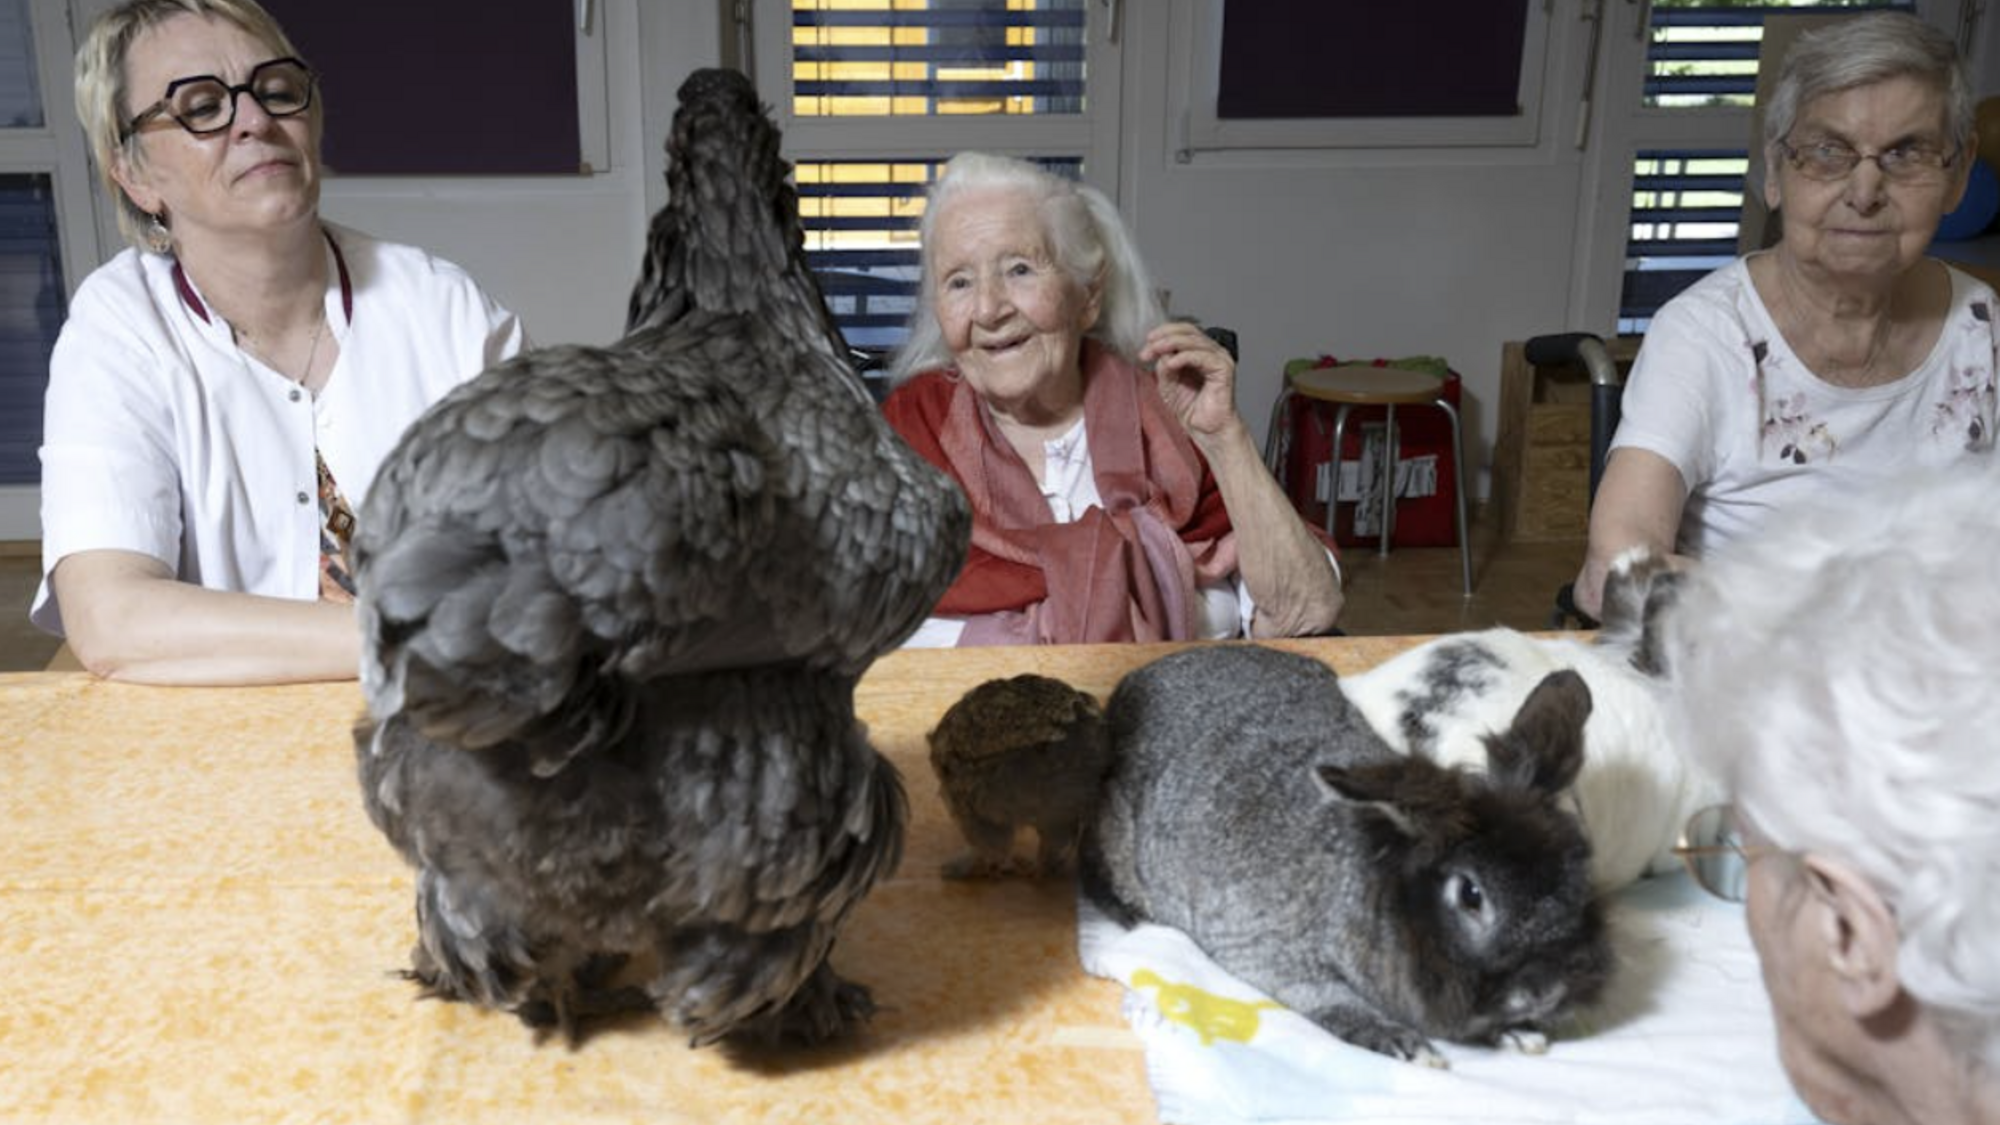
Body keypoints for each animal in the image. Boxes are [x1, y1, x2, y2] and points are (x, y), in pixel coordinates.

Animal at [1080, 644, 1608, 1064]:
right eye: (1471, 894)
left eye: (1580, 867)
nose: (1552, 989)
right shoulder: (1269, 956)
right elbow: (1333, 1005)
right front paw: (1405, 1045)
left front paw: (1520, 1034)